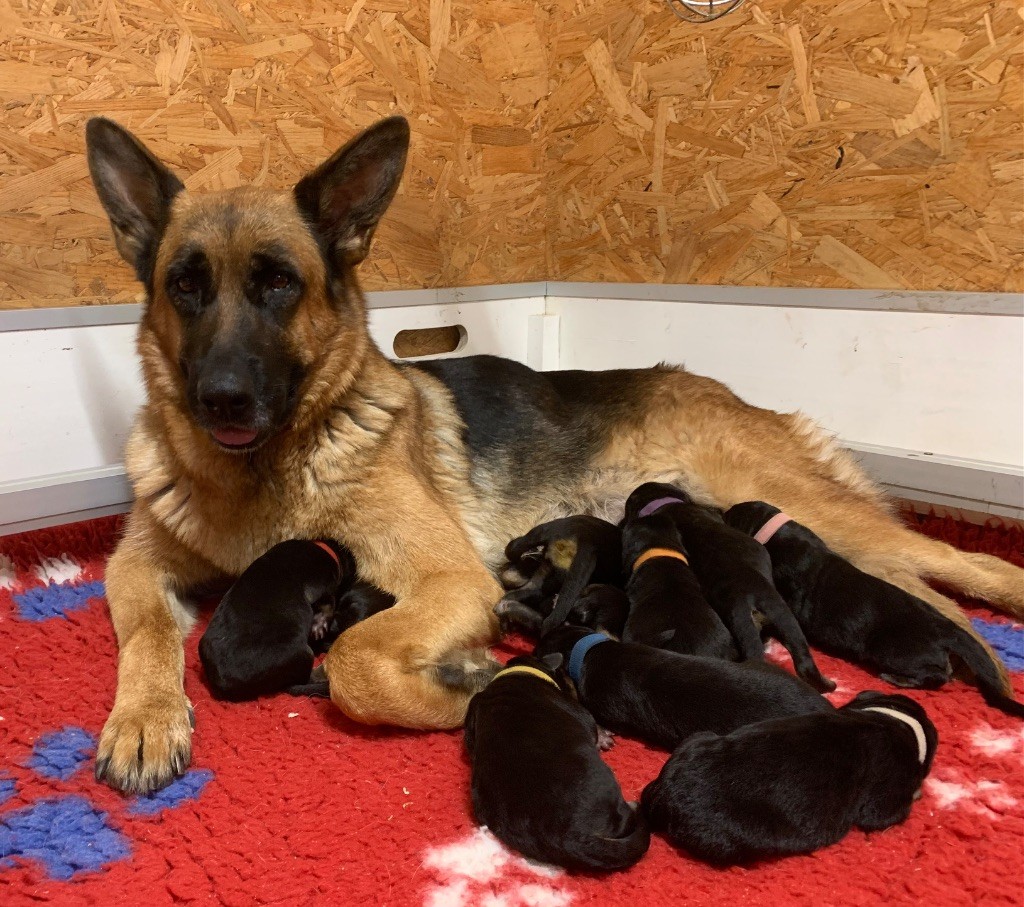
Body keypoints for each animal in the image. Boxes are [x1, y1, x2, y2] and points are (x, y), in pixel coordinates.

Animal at [197, 539, 352, 701]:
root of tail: (223, 685)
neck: (324, 548)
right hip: (302, 653)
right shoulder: (322, 584)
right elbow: (330, 602)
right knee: (307, 677)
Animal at [464, 655, 649, 872]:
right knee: (625, 818)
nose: (572, 679)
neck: (518, 672)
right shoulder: (581, 713)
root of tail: (567, 838)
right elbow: (593, 725)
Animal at [641, 691, 938, 865]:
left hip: (698, 738)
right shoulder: (887, 794)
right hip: (730, 838)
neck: (895, 718)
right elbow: (885, 813)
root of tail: (662, 797)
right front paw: (918, 792)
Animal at [724, 502, 1024, 717]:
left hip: (896, 651)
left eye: (729, 516)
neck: (777, 530)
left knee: (939, 675)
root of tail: (948, 627)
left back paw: (898, 679)